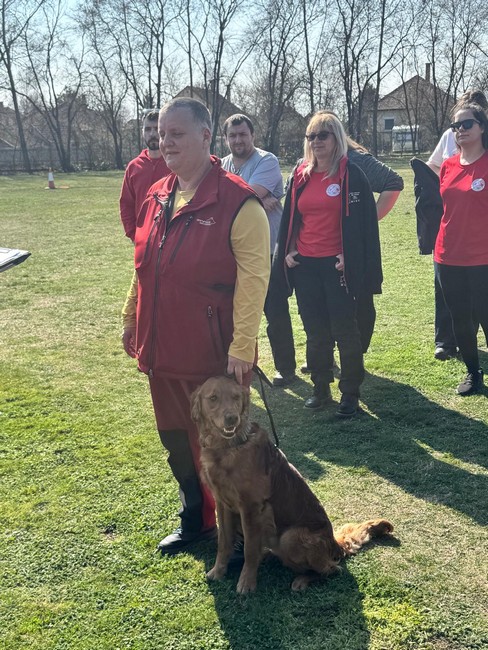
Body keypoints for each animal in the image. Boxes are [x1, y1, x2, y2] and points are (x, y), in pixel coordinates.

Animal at [190, 376, 393, 593]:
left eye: (236, 397)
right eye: (213, 398)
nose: (232, 419)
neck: (228, 447)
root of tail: (334, 543)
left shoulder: (251, 508)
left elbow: (249, 549)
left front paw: (247, 582)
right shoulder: (222, 504)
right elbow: (224, 543)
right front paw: (218, 571)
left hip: (291, 537)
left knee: (333, 569)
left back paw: (303, 579)